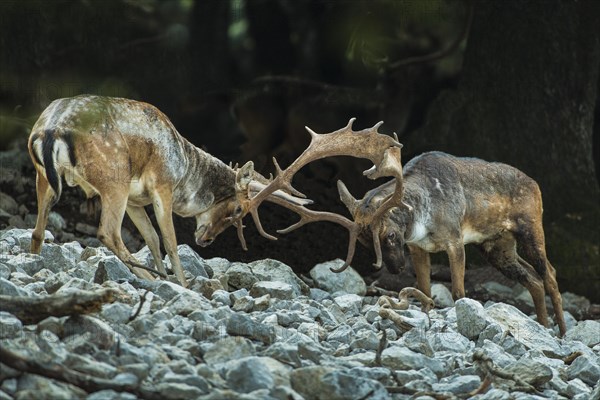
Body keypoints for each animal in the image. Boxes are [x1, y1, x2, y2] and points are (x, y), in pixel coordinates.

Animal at [27, 95, 310, 286]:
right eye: (239, 209)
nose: (207, 240)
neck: (185, 167)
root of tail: (50, 130)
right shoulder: (162, 184)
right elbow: (170, 241)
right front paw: (182, 284)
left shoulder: (135, 200)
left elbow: (152, 237)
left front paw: (168, 276)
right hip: (114, 177)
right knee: (108, 232)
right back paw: (148, 277)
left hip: (44, 176)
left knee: (38, 230)